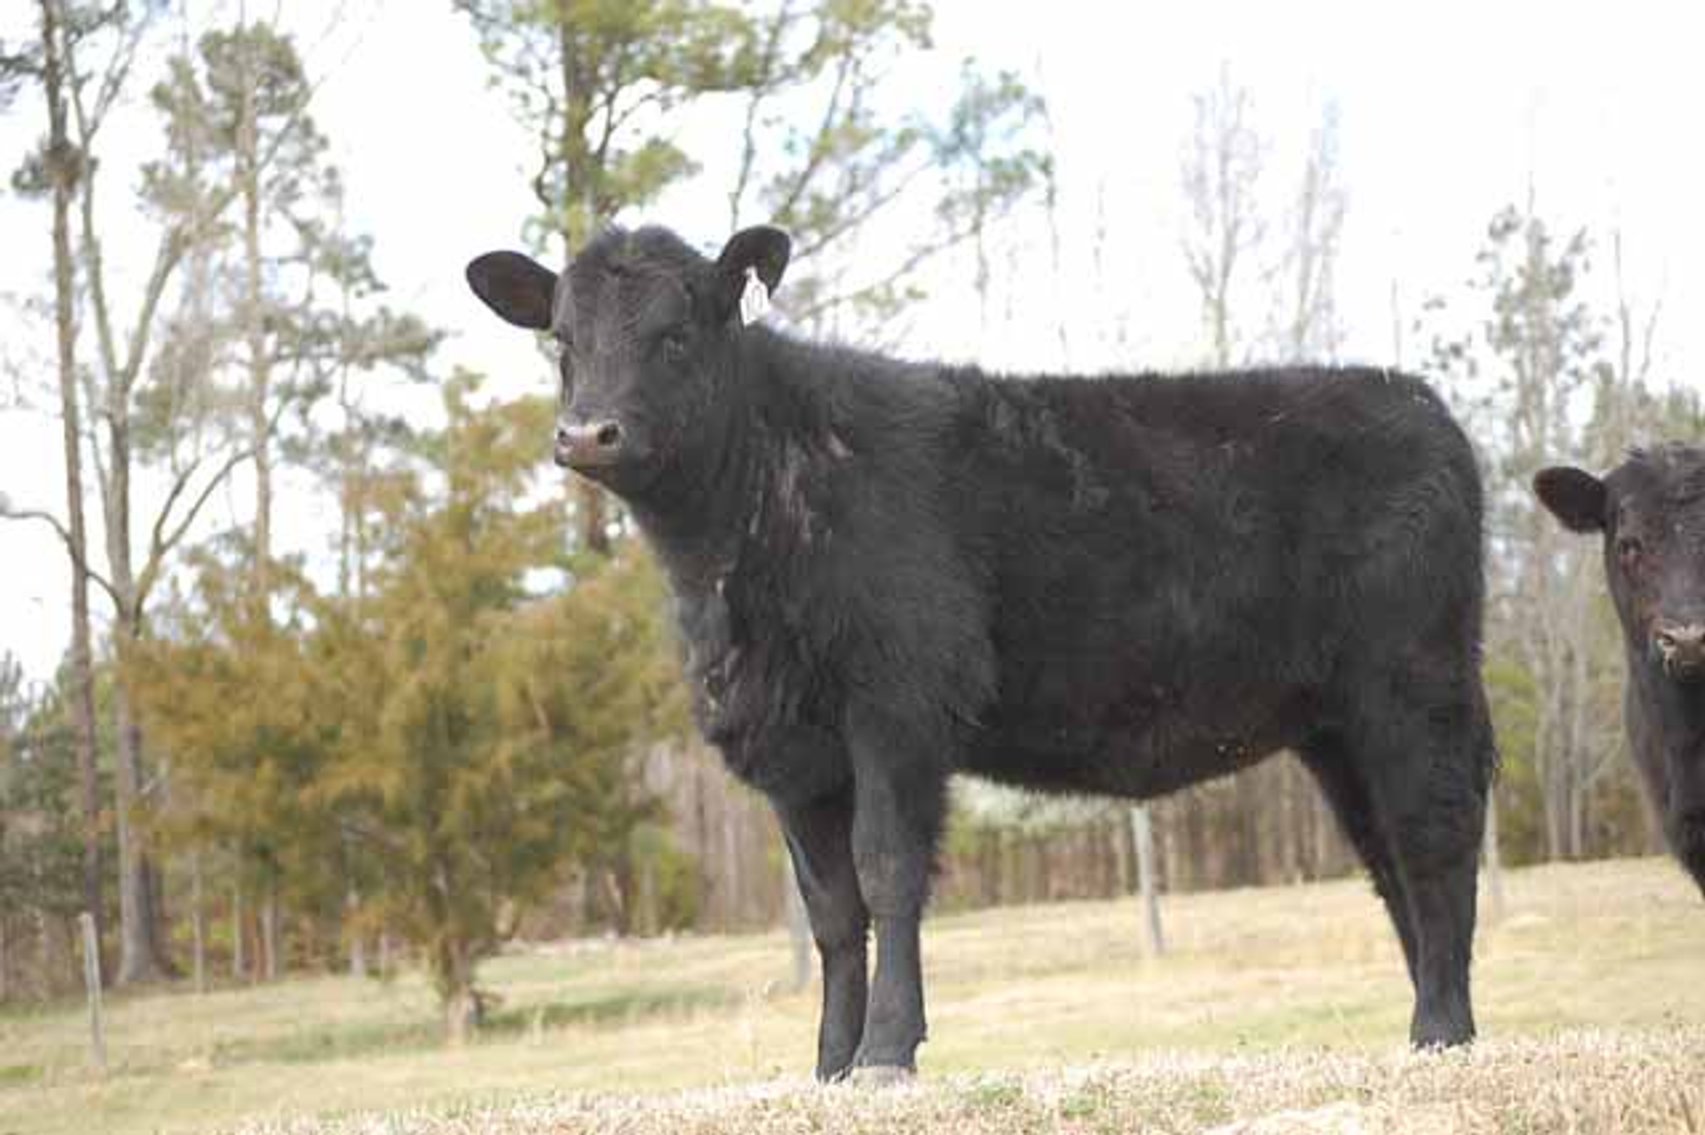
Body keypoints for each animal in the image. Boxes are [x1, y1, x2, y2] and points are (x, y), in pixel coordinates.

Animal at [465, 223, 1495, 1082]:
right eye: (562, 341)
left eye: (675, 334)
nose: (587, 432)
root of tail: (1414, 400)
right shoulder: (788, 746)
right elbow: (830, 911)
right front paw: (828, 1063)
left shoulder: (897, 701)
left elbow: (887, 872)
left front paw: (886, 1052)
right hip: (1334, 722)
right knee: (1387, 853)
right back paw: (1434, 1024)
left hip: (1413, 679)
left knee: (1433, 836)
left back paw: (1440, 1027)